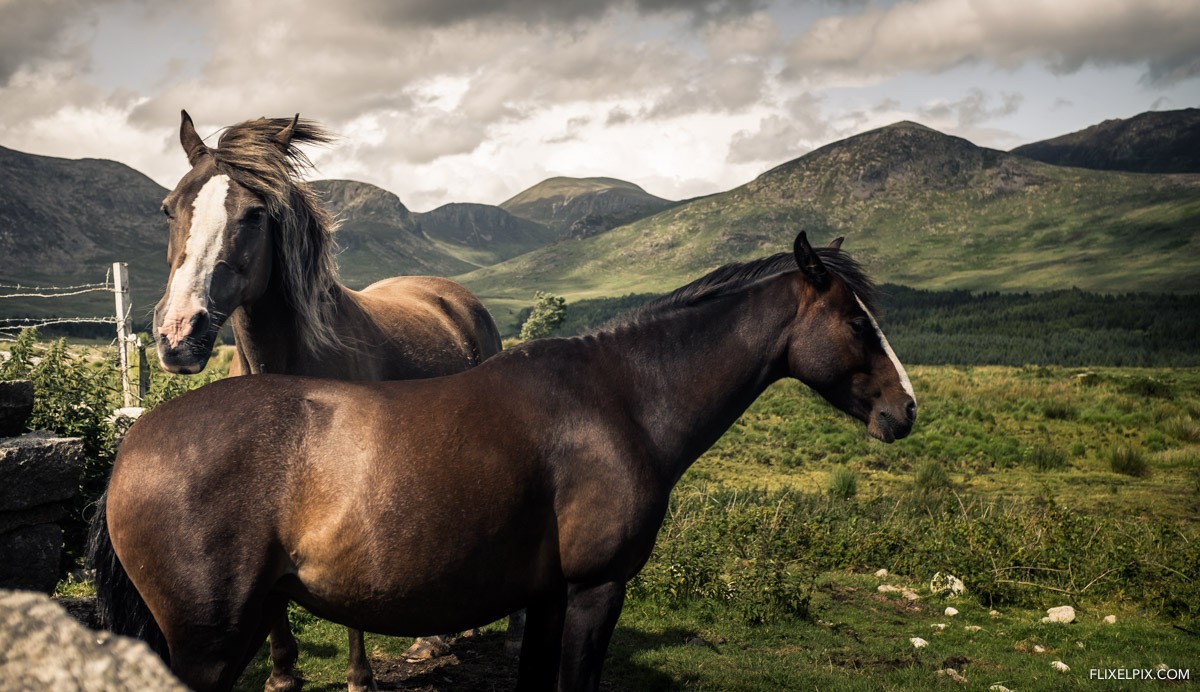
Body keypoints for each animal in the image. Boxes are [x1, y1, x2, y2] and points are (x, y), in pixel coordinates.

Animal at [90, 232, 916, 691]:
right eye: (856, 322)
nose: (905, 410)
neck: (620, 399)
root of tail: (136, 443)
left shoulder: (548, 598)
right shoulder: (594, 591)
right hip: (207, 645)